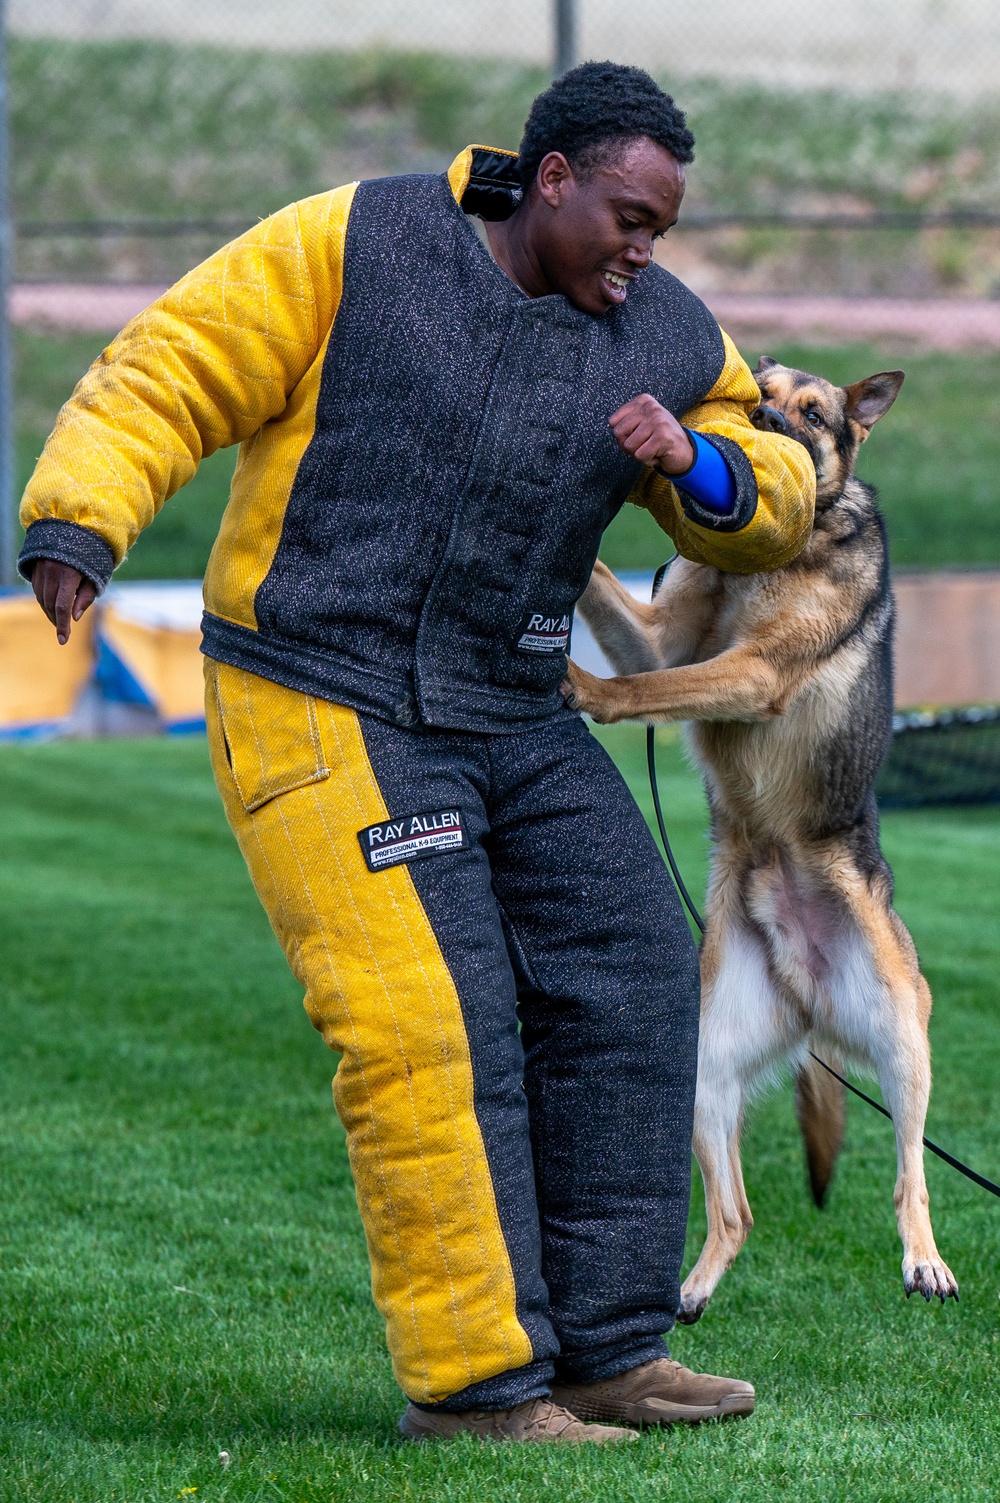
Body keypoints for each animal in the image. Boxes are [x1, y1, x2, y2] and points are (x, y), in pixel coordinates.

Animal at [562, 360, 962, 1316]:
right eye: (757, 398)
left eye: (811, 415)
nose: (768, 426)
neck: (797, 542)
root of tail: (808, 989)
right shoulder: (660, 638)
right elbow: (622, 605)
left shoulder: (749, 672)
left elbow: (652, 688)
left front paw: (587, 689)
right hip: (705, 1066)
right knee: (736, 1211)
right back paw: (690, 1290)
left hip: (904, 1041)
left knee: (910, 1177)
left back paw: (925, 1261)